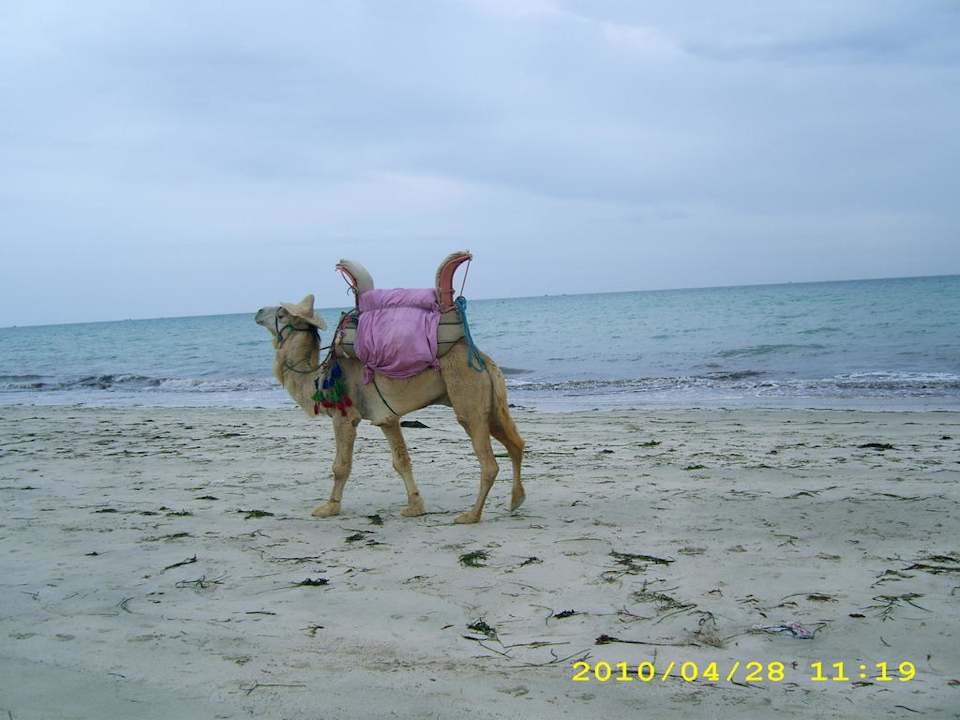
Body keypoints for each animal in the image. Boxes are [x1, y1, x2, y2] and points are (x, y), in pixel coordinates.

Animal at [253, 255, 525, 524]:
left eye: (281, 313)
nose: (257, 311)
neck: (317, 376)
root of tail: (483, 359)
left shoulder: (345, 416)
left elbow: (341, 466)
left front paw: (329, 508)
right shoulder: (386, 417)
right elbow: (401, 460)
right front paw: (415, 506)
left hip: (468, 397)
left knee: (489, 461)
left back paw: (471, 515)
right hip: (490, 402)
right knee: (516, 443)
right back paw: (516, 500)